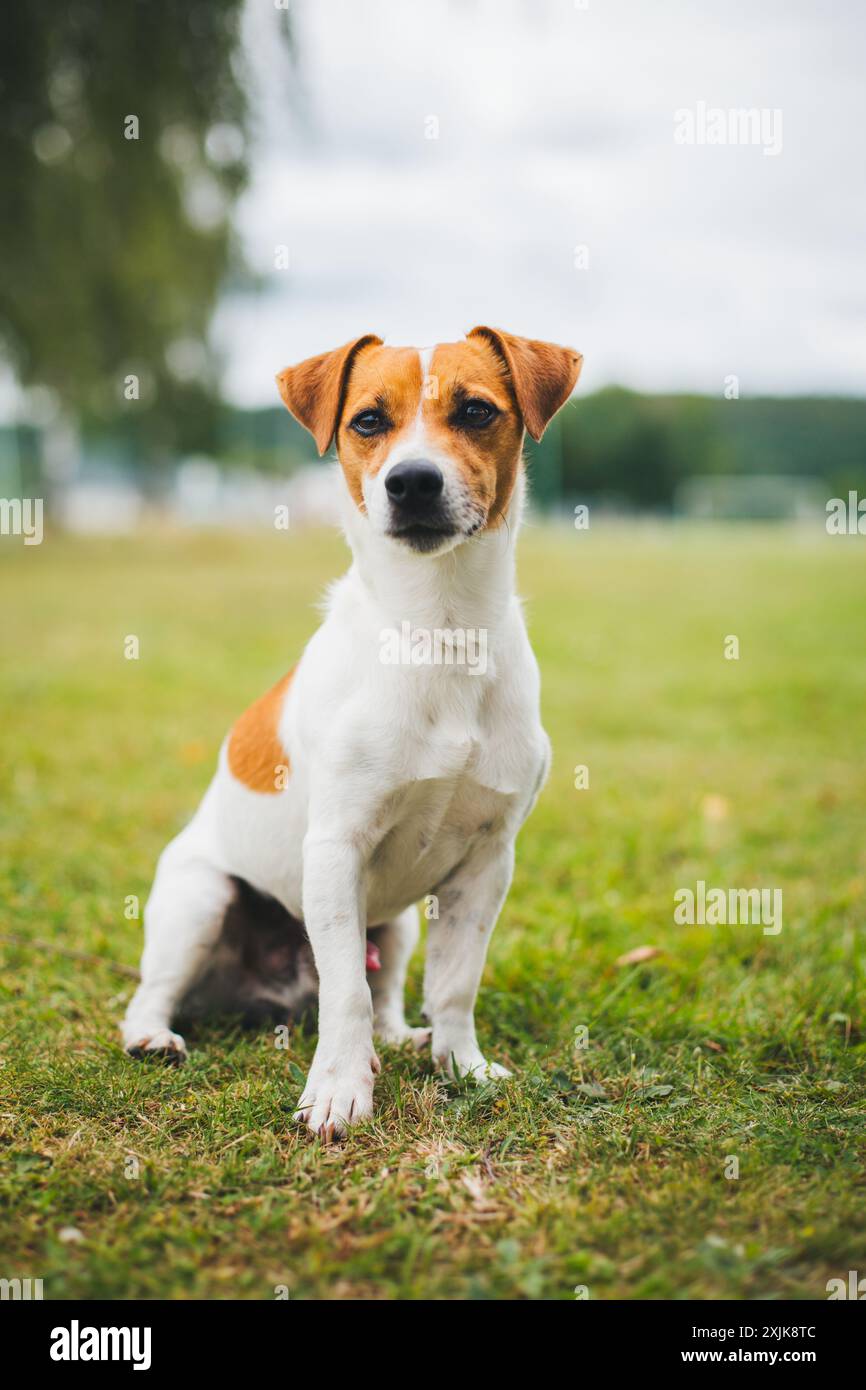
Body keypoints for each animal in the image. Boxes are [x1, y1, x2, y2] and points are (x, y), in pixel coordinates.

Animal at [123, 328, 583, 1139]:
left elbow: (456, 983)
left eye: (476, 410)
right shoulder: (337, 848)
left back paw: (401, 1037)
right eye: (367, 421)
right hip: (200, 898)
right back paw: (154, 1035)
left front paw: (463, 1068)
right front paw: (339, 1090)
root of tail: (268, 994)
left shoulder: (488, 861)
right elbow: (345, 995)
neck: (438, 632)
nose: (413, 482)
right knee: (155, 990)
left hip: (395, 928)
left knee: (391, 989)